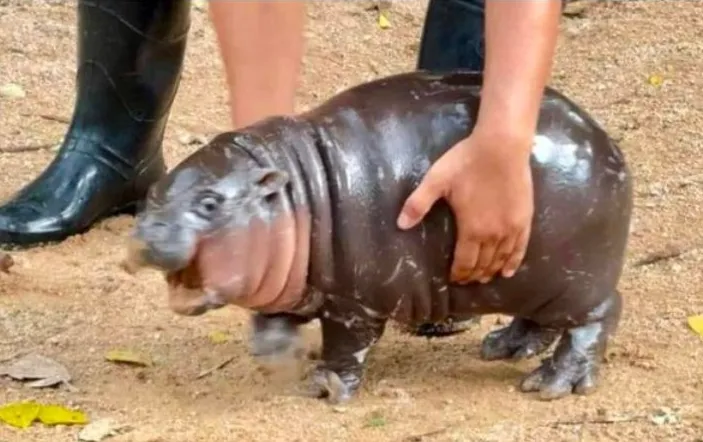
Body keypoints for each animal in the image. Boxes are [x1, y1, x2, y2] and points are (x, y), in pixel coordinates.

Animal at [125, 70, 633, 404]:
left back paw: (550, 385)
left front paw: (324, 388)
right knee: (541, 321)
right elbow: (272, 320)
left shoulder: (355, 305)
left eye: (210, 203)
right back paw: (502, 347)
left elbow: (345, 347)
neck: (298, 191)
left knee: (598, 317)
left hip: (576, 280)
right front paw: (279, 356)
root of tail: (607, 144)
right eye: (152, 192)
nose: (144, 235)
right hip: (532, 279)